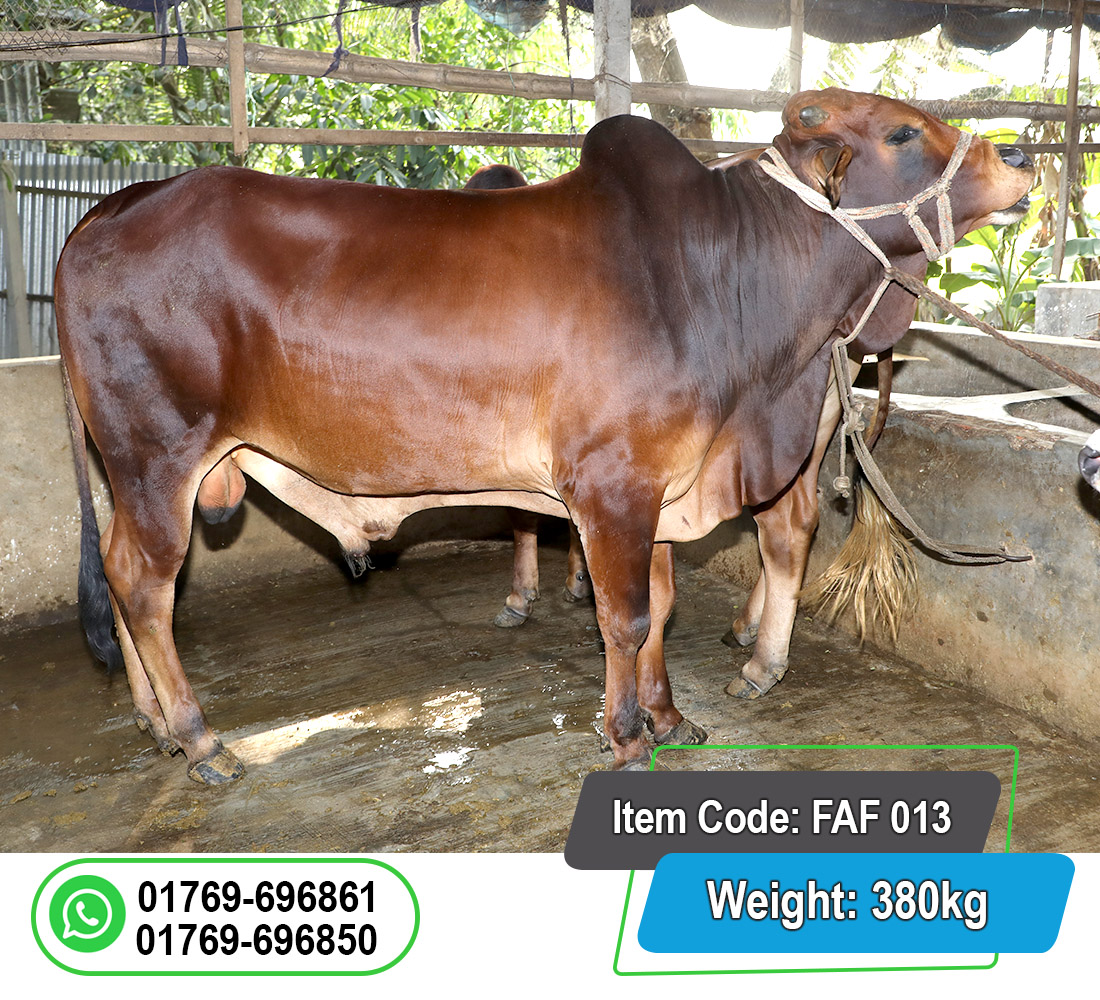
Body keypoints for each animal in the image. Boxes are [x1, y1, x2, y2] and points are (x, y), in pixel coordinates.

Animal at [57, 88, 1033, 781]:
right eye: (902, 133)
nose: (1022, 152)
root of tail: (113, 208)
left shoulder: (661, 487)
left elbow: (661, 608)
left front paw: (670, 717)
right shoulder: (613, 484)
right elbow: (625, 617)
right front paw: (628, 736)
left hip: (130, 469)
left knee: (120, 573)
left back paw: (154, 723)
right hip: (157, 458)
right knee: (143, 585)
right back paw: (198, 738)